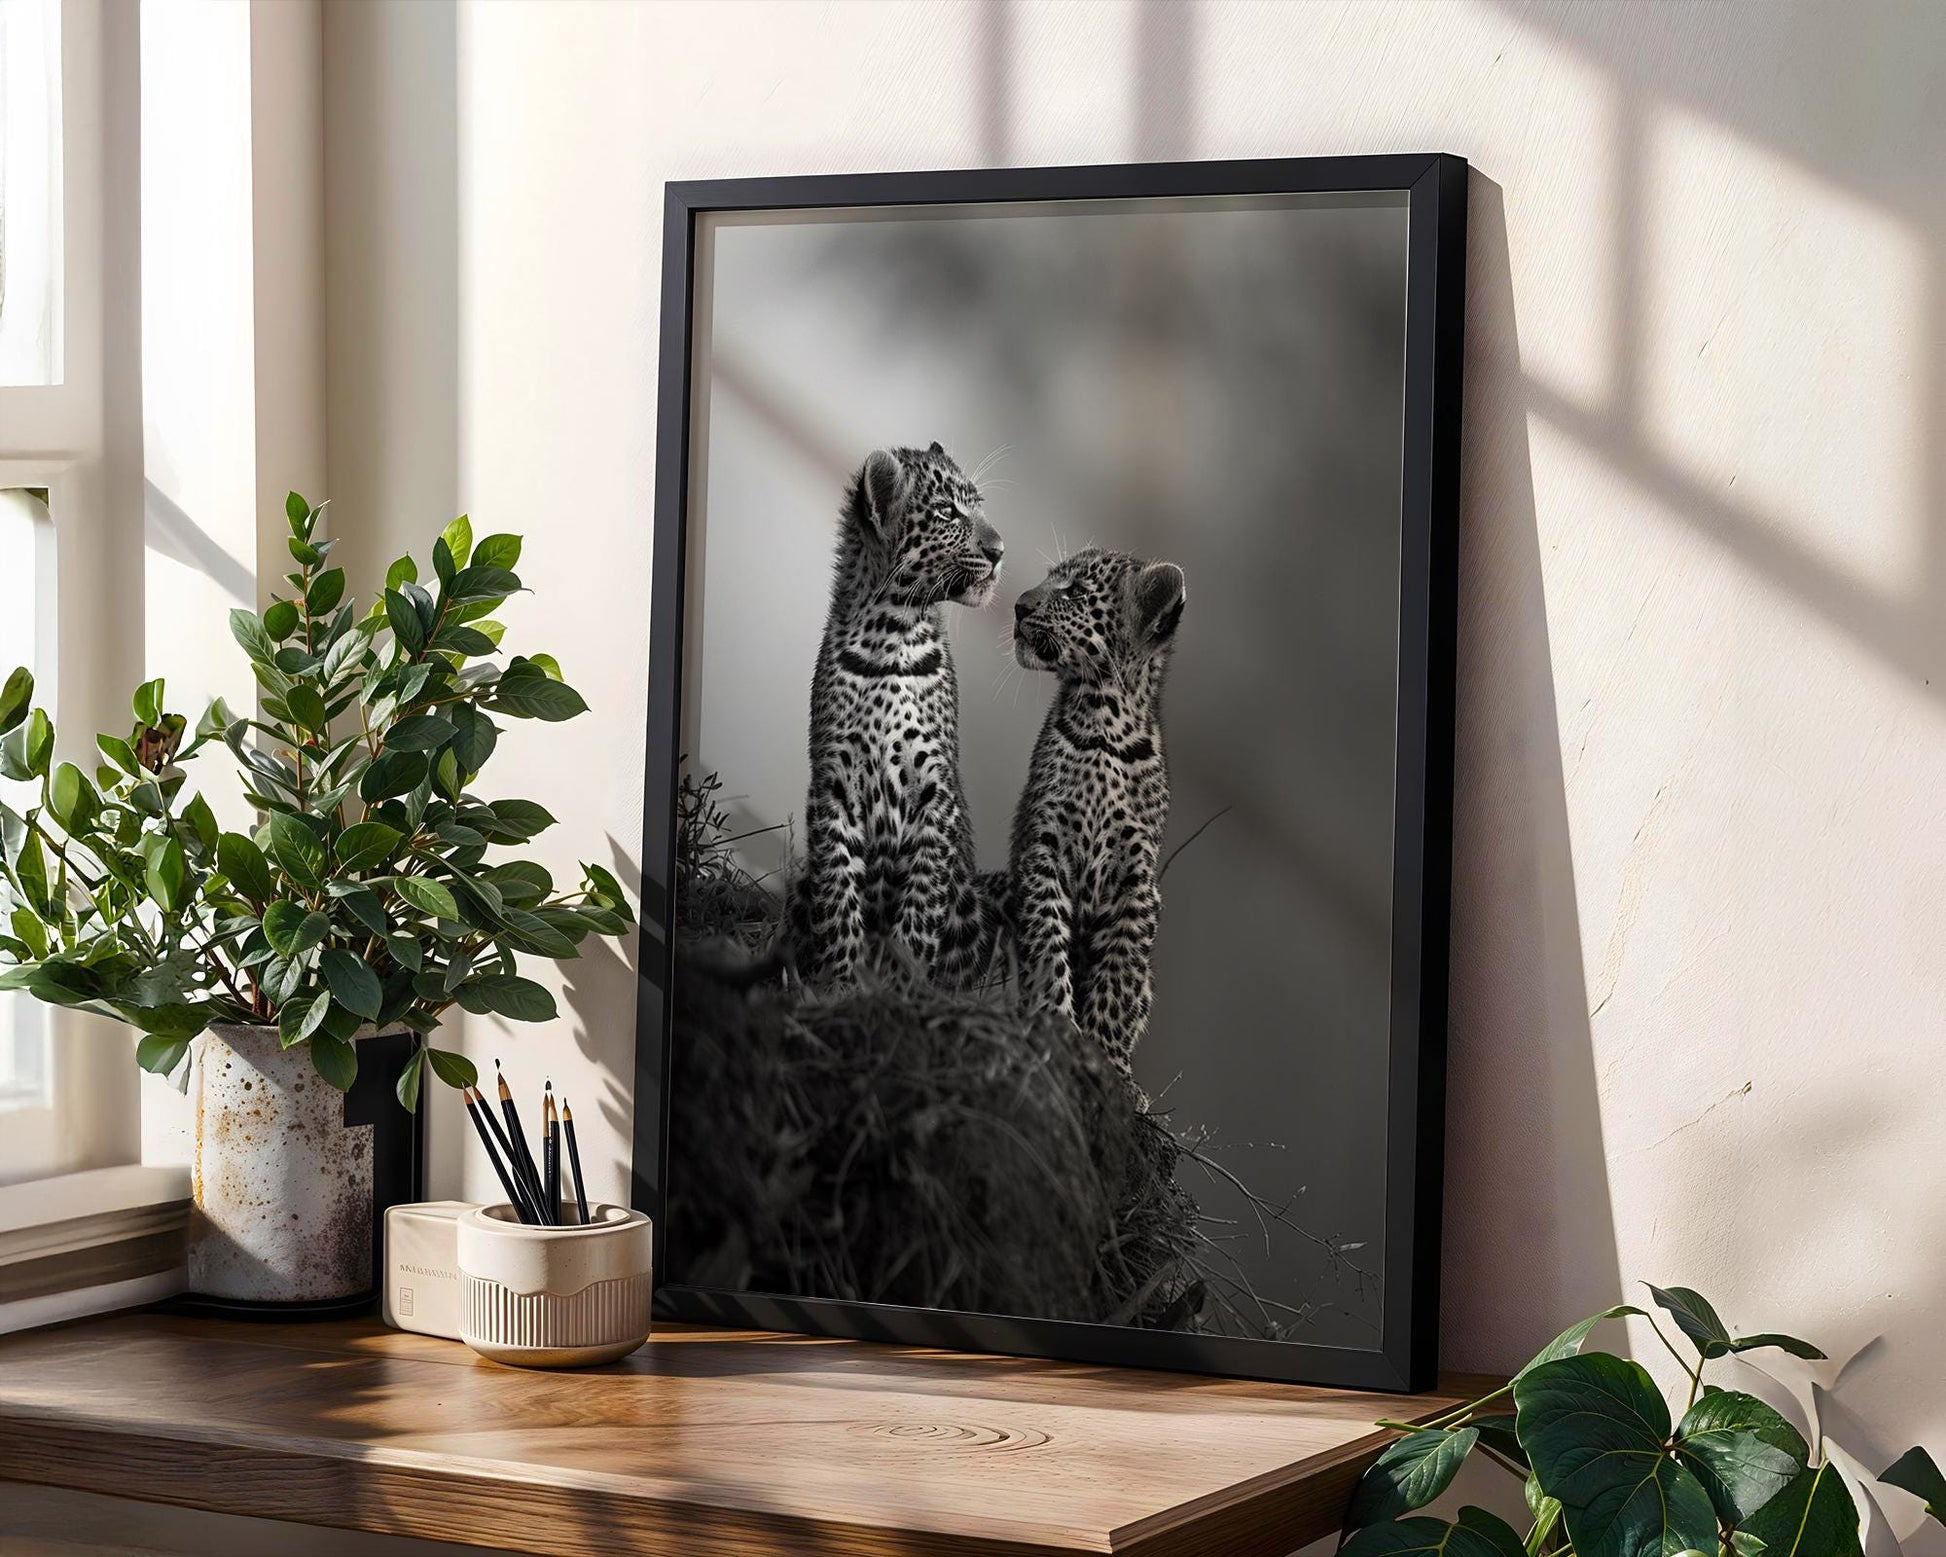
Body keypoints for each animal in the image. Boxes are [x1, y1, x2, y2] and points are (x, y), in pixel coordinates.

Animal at [792, 442, 1007, 989]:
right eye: (948, 513)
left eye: (979, 507)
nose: (1000, 550)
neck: (891, 635)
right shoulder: (832, 787)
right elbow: (837, 902)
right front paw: (842, 988)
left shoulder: (936, 793)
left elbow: (920, 908)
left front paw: (900, 987)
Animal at [1007, 548, 1187, 1078]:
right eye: (1047, 581)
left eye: (1075, 592)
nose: (1019, 606)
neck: (1102, 721)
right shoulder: (1043, 845)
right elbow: (1047, 939)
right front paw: (1055, 1019)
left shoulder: (1137, 878)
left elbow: (1121, 975)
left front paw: (1107, 1059)